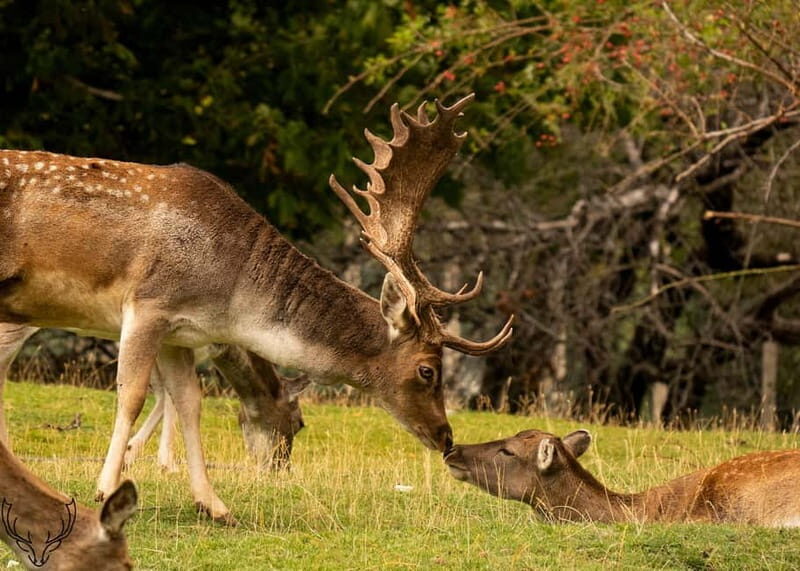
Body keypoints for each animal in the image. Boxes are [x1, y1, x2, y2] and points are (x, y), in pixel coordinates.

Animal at [0, 93, 512, 524]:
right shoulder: (148, 303)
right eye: (428, 370)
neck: (227, 298)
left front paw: (213, 504)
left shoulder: (181, 333)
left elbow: (189, 402)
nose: (446, 436)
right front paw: (107, 488)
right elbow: (132, 394)